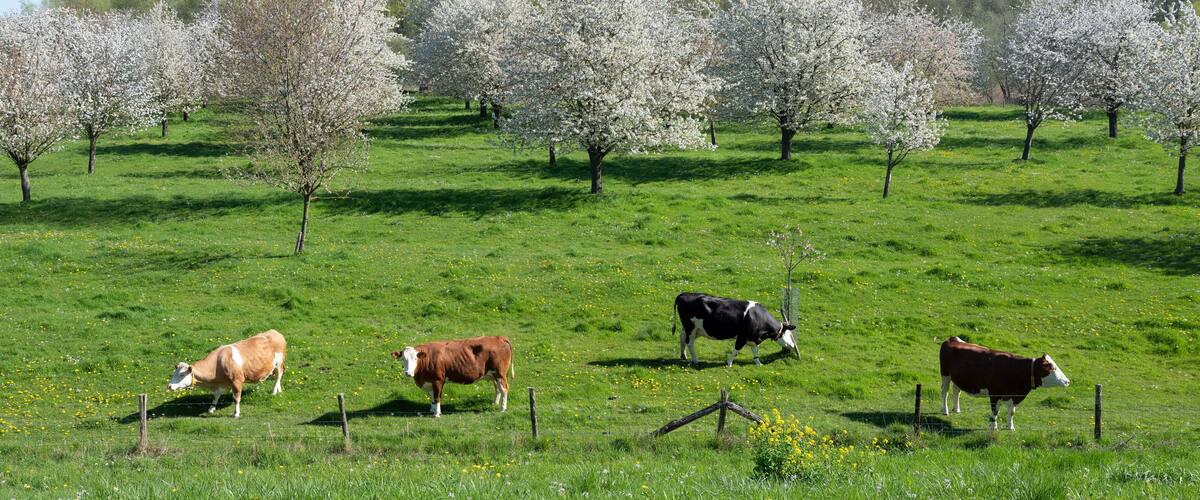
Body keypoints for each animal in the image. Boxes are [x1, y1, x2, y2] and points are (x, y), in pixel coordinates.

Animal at [939, 336, 1071, 430]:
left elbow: (1011, 412)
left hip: (957, 377)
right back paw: (945, 411)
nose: (1067, 381)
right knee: (944, 392)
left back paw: (957, 409)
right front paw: (993, 427)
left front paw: (1010, 427)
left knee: (956, 390)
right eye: (1052, 368)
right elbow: (995, 411)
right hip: (945, 374)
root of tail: (952, 339)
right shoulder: (994, 394)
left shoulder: (1015, 396)